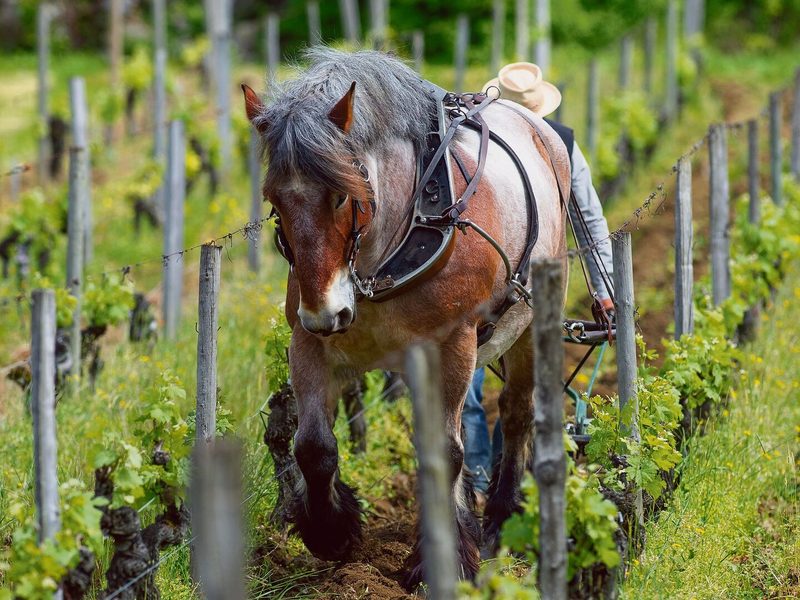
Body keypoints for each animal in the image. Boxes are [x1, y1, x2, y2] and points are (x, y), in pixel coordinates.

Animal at [242, 47, 570, 585]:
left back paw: (500, 521)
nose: (327, 312)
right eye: (275, 200)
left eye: (341, 195)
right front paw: (333, 532)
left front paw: (447, 558)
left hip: (528, 323)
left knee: (518, 414)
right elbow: (312, 446)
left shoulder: (452, 342)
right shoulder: (308, 342)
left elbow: (446, 450)